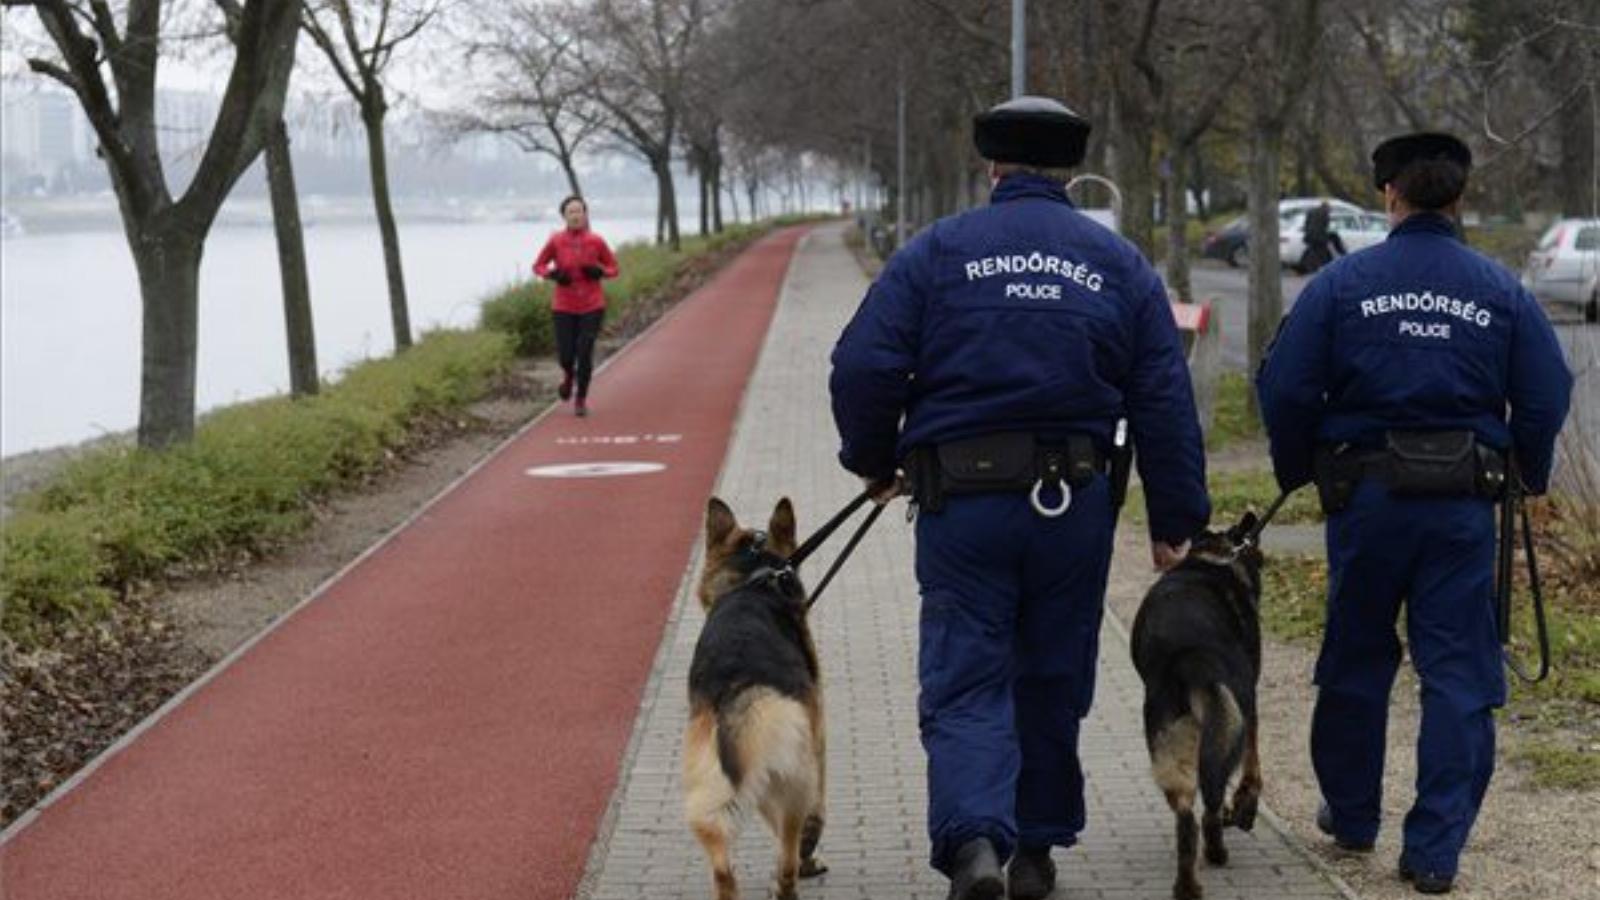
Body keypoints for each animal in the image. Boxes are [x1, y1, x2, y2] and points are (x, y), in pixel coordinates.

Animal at [1132, 512, 1267, 896]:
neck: (1213, 556)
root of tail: (1188, 657)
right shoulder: (1250, 705)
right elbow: (1253, 768)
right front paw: (1244, 807)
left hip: (1171, 741)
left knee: (1186, 820)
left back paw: (1188, 885)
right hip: (1234, 713)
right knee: (1210, 803)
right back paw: (1218, 850)